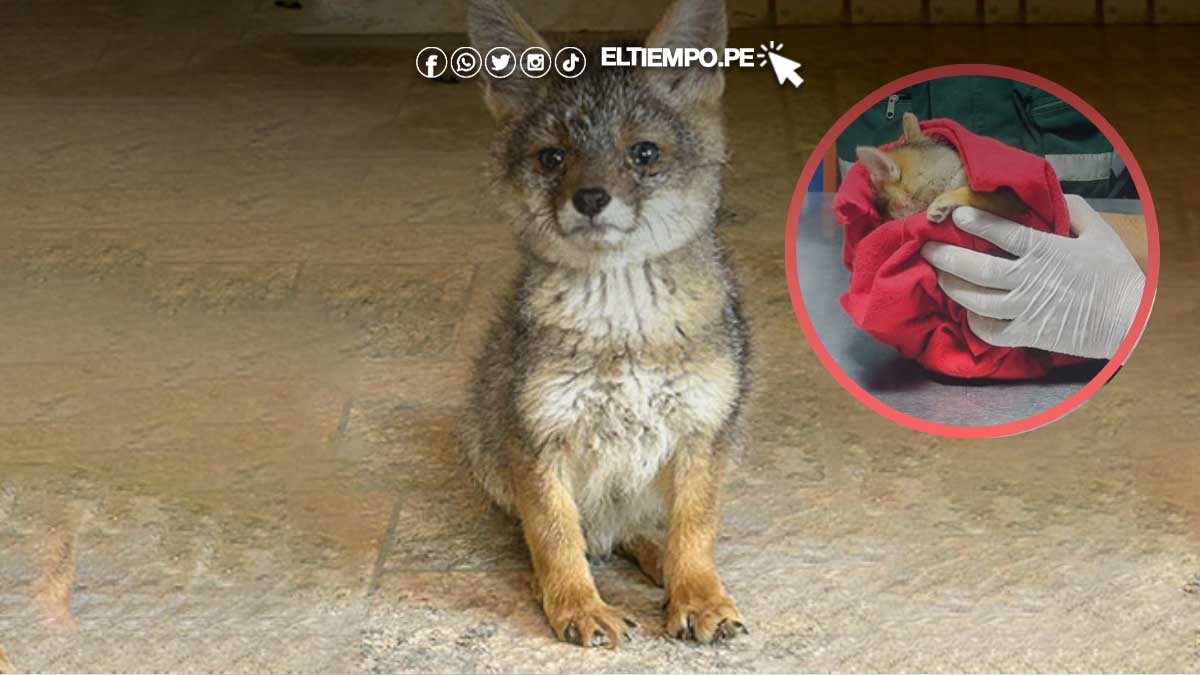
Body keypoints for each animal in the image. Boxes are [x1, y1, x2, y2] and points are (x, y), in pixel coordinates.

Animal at [458, 0, 751, 648]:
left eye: (643, 153)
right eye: (552, 158)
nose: (590, 198)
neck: (624, 330)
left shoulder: (702, 430)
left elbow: (695, 531)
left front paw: (697, 594)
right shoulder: (538, 435)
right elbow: (556, 536)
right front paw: (577, 604)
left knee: (634, 533)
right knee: (576, 536)